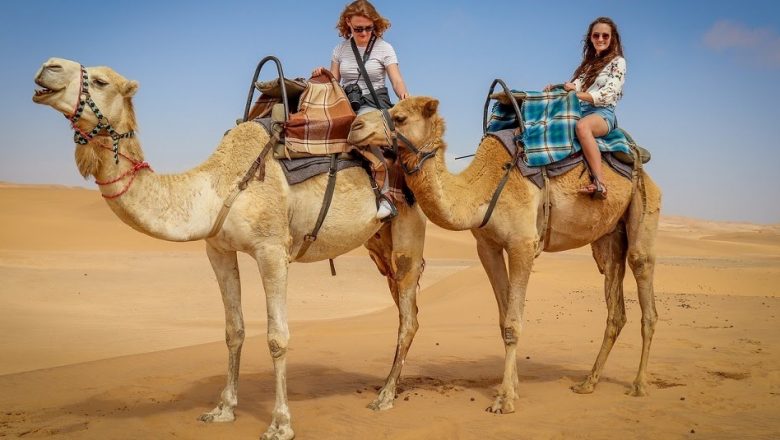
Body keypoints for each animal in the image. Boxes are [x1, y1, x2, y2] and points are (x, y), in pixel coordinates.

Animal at [32, 58, 426, 440]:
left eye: (101, 81)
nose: (48, 67)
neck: (217, 185)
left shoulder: (272, 249)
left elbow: (277, 337)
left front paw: (280, 424)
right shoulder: (218, 250)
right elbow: (233, 330)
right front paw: (223, 409)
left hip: (408, 230)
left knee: (408, 318)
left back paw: (385, 397)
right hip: (378, 243)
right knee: (405, 309)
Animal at [349, 96, 661, 414]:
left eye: (399, 117)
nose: (355, 126)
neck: (481, 189)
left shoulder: (523, 243)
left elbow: (513, 323)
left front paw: (504, 399)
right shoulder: (487, 247)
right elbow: (502, 320)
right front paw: (514, 388)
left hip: (644, 208)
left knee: (643, 278)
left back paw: (639, 385)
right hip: (608, 237)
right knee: (615, 302)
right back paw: (588, 383)